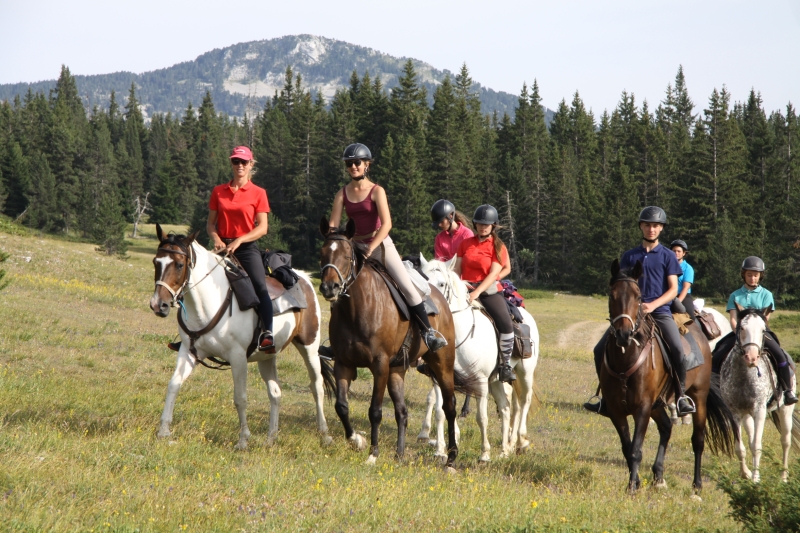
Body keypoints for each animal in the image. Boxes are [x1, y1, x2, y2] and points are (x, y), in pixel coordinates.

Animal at [148, 224, 332, 448]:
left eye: (179, 264)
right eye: (156, 261)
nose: (159, 305)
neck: (209, 302)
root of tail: (303, 278)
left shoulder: (238, 357)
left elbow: (240, 397)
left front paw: (243, 439)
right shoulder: (188, 351)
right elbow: (174, 384)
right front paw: (164, 431)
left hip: (309, 347)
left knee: (317, 387)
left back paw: (325, 434)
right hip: (267, 356)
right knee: (275, 392)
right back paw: (271, 437)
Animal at [318, 218, 478, 468]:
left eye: (346, 255)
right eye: (322, 253)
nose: (329, 287)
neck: (357, 308)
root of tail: (442, 301)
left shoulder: (379, 365)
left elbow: (375, 410)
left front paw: (373, 453)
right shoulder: (343, 363)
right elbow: (341, 406)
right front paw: (357, 441)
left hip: (442, 363)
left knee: (449, 405)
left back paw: (451, 457)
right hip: (397, 370)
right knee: (402, 411)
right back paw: (400, 453)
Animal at [416, 256, 540, 460]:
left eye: (441, 284)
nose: (426, 310)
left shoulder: (480, 381)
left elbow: (481, 418)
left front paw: (484, 454)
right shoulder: (439, 378)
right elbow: (440, 411)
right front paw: (440, 450)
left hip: (524, 372)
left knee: (523, 402)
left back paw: (520, 441)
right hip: (496, 379)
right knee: (506, 407)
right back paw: (505, 449)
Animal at [600, 260, 736, 492]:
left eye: (638, 296)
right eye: (612, 295)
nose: (624, 334)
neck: (625, 360)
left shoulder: (642, 407)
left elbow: (635, 449)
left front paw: (632, 488)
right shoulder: (617, 410)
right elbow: (627, 448)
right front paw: (636, 482)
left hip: (698, 396)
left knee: (698, 440)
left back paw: (696, 486)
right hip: (658, 403)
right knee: (665, 428)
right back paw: (659, 476)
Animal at [720, 304, 796, 482]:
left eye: (763, 330)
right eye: (742, 328)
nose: (751, 358)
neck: (744, 376)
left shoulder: (759, 410)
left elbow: (756, 446)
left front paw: (755, 478)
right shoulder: (735, 412)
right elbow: (740, 447)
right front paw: (745, 474)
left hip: (785, 410)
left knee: (785, 441)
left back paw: (783, 476)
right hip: (747, 415)